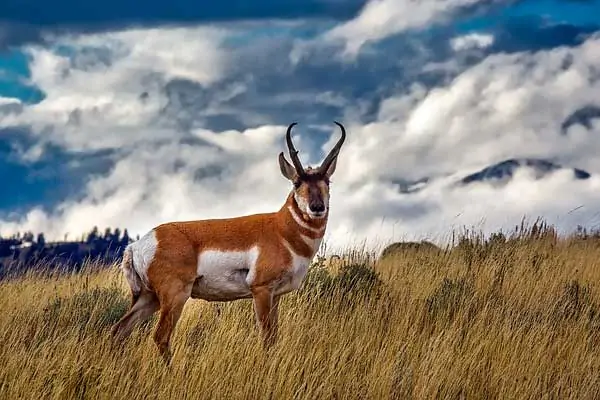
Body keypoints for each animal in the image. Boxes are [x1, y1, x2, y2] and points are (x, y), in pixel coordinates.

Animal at [111, 120, 346, 360]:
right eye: (297, 182)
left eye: (327, 181)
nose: (317, 207)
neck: (281, 229)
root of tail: (137, 245)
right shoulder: (261, 290)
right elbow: (267, 338)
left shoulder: (276, 295)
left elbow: (275, 336)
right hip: (174, 296)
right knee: (160, 336)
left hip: (149, 298)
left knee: (120, 329)